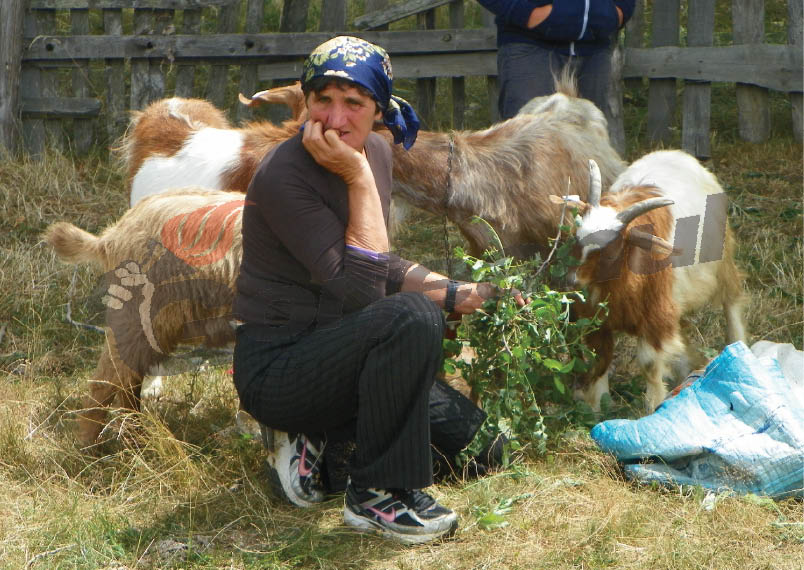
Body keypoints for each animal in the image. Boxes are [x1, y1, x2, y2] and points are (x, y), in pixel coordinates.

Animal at [552, 151, 747, 412]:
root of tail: (675, 153)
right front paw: (598, 406)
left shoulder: (655, 318)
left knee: (731, 299)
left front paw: (653, 405)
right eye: (576, 236)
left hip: (722, 260)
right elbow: (600, 358)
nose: (571, 280)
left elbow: (649, 365)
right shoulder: (597, 318)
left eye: (611, 251)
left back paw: (739, 346)